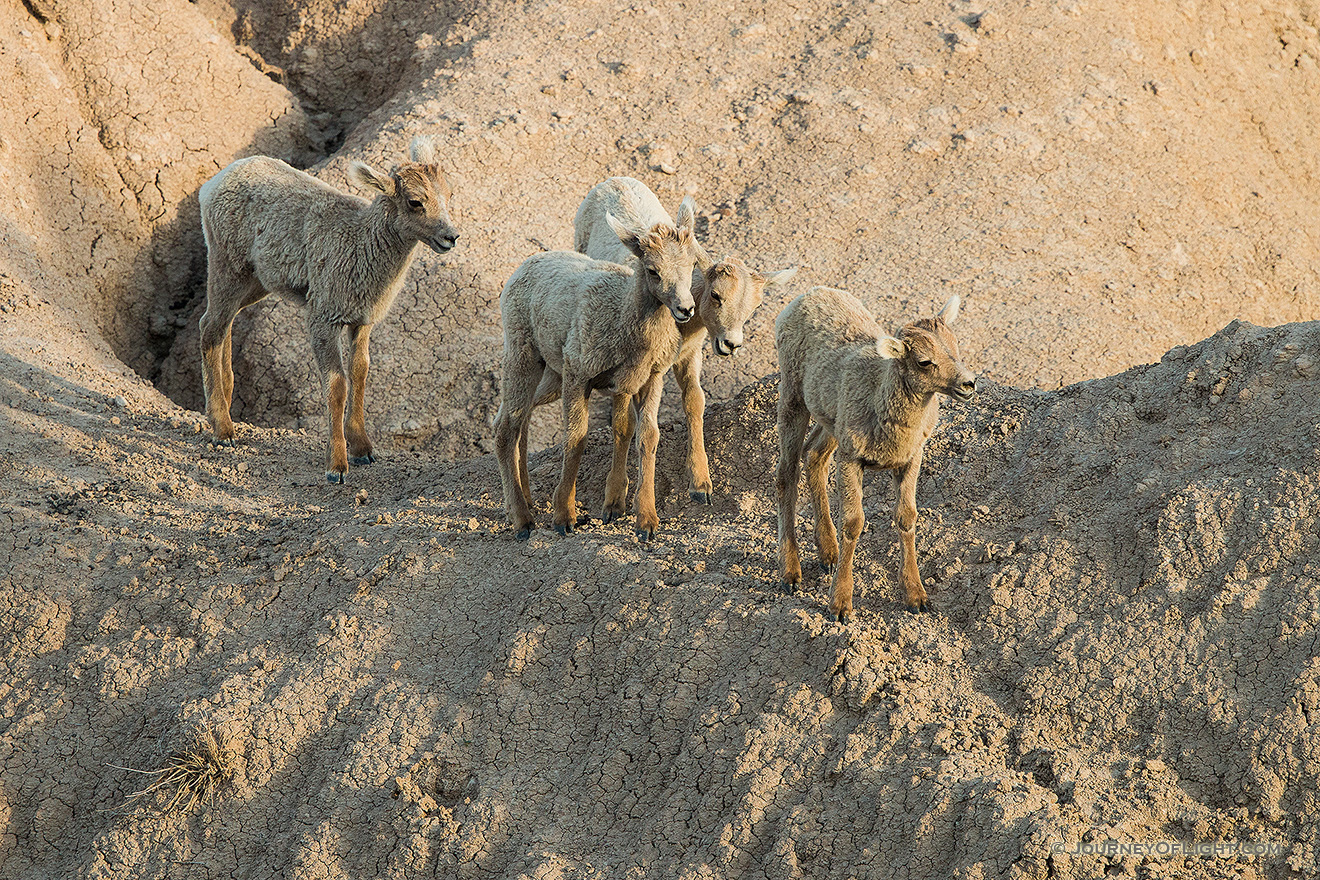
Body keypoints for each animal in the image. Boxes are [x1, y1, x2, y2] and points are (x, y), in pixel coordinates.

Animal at [195, 137, 459, 482]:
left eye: (449, 193)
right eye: (415, 202)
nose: (450, 237)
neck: (359, 245)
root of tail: (213, 184)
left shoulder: (362, 321)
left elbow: (360, 372)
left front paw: (363, 450)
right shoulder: (323, 318)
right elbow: (336, 385)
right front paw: (337, 467)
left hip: (256, 281)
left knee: (222, 323)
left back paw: (227, 401)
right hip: (227, 266)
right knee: (211, 328)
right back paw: (223, 430)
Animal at [493, 200, 702, 543]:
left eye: (693, 263)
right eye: (652, 270)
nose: (685, 308)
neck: (621, 318)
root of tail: (525, 266)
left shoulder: (648, 380)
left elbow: (646, 436)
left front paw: (645, 521)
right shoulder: (579, 374)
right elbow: (576, 438)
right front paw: (564, 517)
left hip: (551, 373)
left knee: (519, 416)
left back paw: (526, 500)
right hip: (523, 354)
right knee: (505, 427)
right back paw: (522, 520)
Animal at [570, 175, 792, 506]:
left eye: (755, 306)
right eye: (716, 295)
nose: (731, 344)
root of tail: (614, 180)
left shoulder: (690, 353)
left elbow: (695, 401)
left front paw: (700, 484)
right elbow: (634, 425)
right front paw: (619, 494)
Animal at [770, 287, 976, 620]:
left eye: (956, 348)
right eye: (924, 361)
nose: (968, 384)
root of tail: (810, 294)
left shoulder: (910, 459)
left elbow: (906, 517)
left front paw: (916, 597)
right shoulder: (851, 459)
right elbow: (853, 523)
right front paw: (840, 605)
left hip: (831, 422)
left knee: (814, 455)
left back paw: (828, 554)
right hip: (793, 397)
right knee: (786, 474)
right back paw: (790, 574)